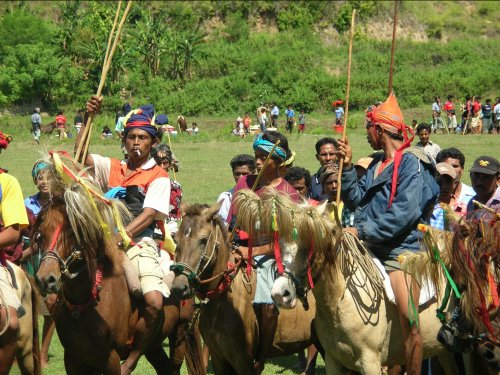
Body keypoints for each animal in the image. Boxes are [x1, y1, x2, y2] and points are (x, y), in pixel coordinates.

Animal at [33, 160, 202, 374]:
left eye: (72, 233)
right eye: (41, 233)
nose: (46, 279)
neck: (85, 302)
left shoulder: (109, 358)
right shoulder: (73, 358)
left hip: (179, 332)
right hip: (154, 346)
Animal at [169, 204, 316, 375]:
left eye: (203, 240)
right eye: (176, 240)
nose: (179, 287)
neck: (222, 298)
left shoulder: (243, 361)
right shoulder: (219, 358)